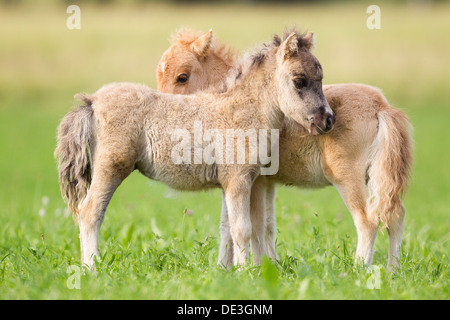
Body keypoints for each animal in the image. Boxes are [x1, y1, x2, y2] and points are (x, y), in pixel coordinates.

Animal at [55, 31, 334, 268]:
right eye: (300, 81)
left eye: (321, 78)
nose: (328, 120)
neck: (241, 110)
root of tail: (93, 101)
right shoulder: (239, 179)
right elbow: (242, 229)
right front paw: (246, 274)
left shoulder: (233, 182)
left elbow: (228, 228)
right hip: (111, 167)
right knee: (90, 211)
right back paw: (92, 268)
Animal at [156, 28, 414, 270]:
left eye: (182, 77)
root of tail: (381, 106)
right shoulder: (254, 181)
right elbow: (253, 225)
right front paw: (247, 266)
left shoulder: (254, 180)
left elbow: (253, 225)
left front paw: (252, 267)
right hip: (378, 174)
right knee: (395, 214)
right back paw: (393, 270)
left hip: (348, 177)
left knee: (368, 219)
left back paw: (358, 269)